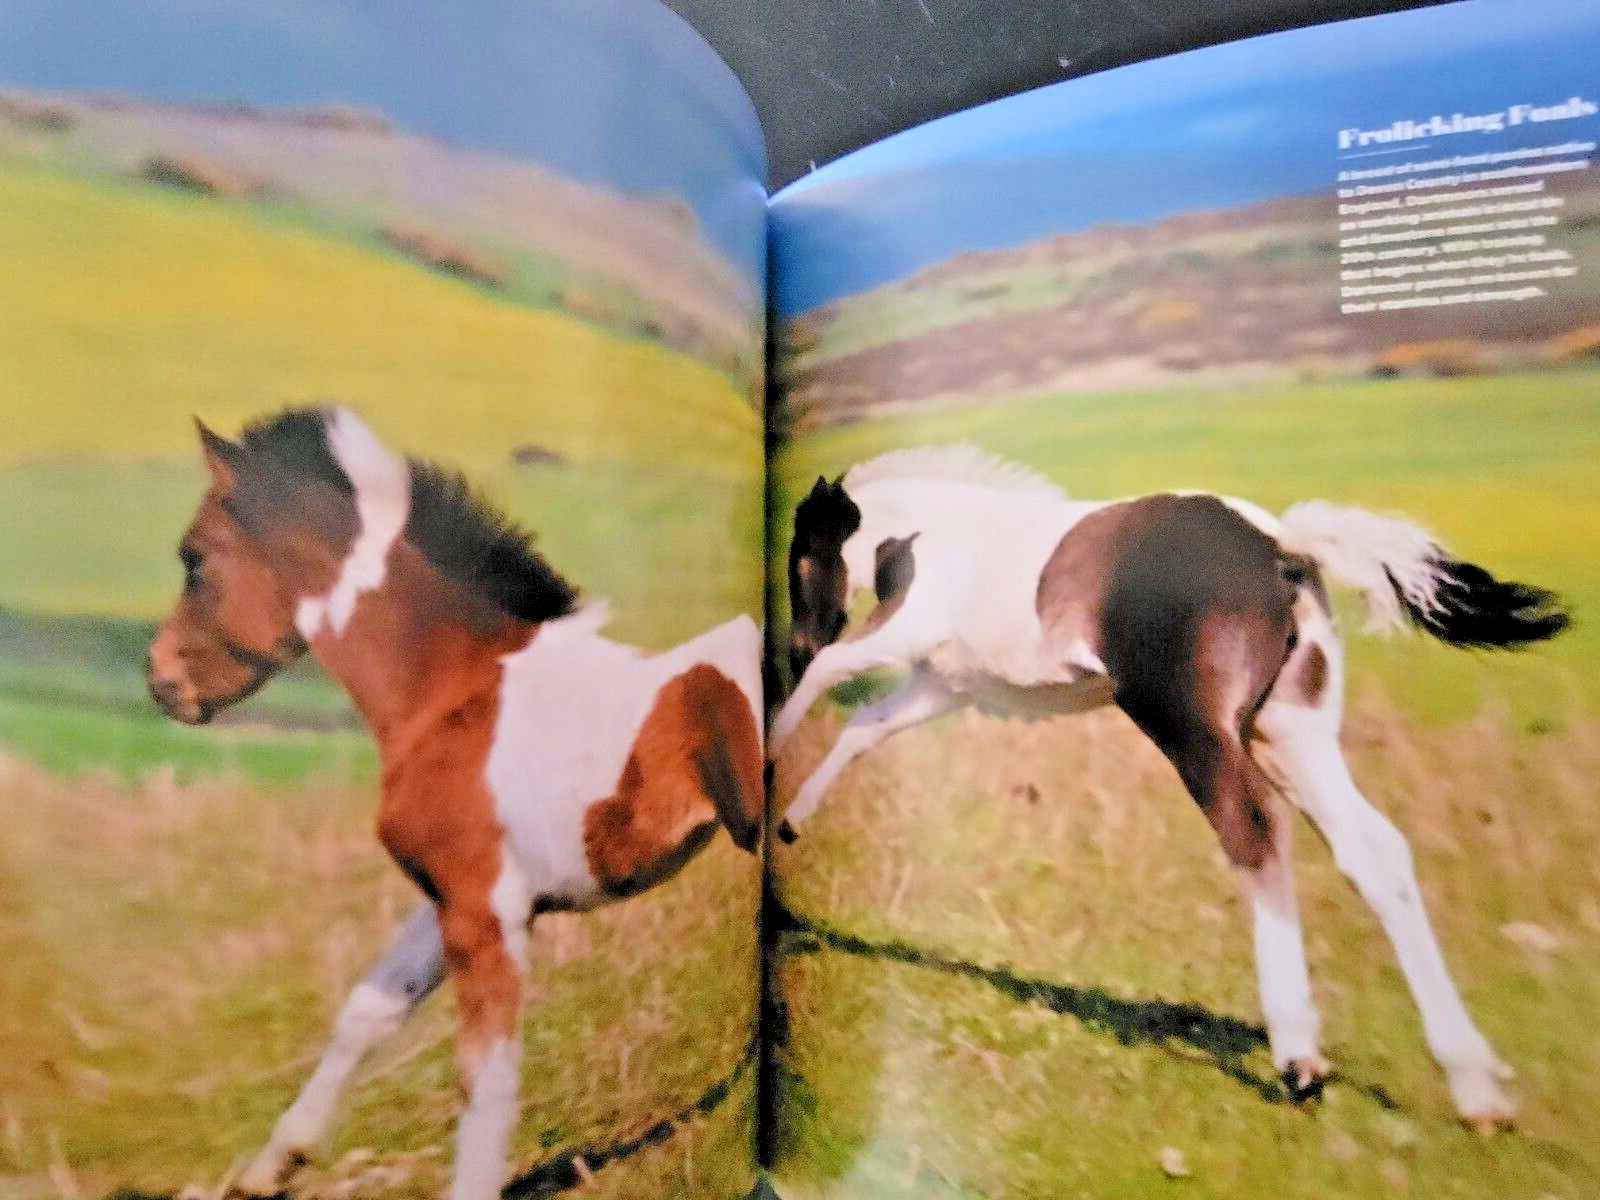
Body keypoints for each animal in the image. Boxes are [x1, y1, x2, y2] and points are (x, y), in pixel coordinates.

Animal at [146, 407, 764, 1200]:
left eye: (192, 557)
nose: (159, 681)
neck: (454, 690)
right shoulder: (454, 895)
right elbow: (368, 1012)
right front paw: (269, 1168)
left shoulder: (483, 914)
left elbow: (485, 1083)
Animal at [771, 444, 1568, 1130]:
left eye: (802, 556)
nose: (800, 639)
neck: (932, 535)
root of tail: (1283, 548)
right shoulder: (945, 685)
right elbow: (862, 728)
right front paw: (788, 821)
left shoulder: (903, 638)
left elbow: (826, 682)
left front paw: (764, 768)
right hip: (1292, 734)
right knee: (1374, 851)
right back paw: (1473, 1086)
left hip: (1193, 729)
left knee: (1254, 835)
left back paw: (1300, 1060)